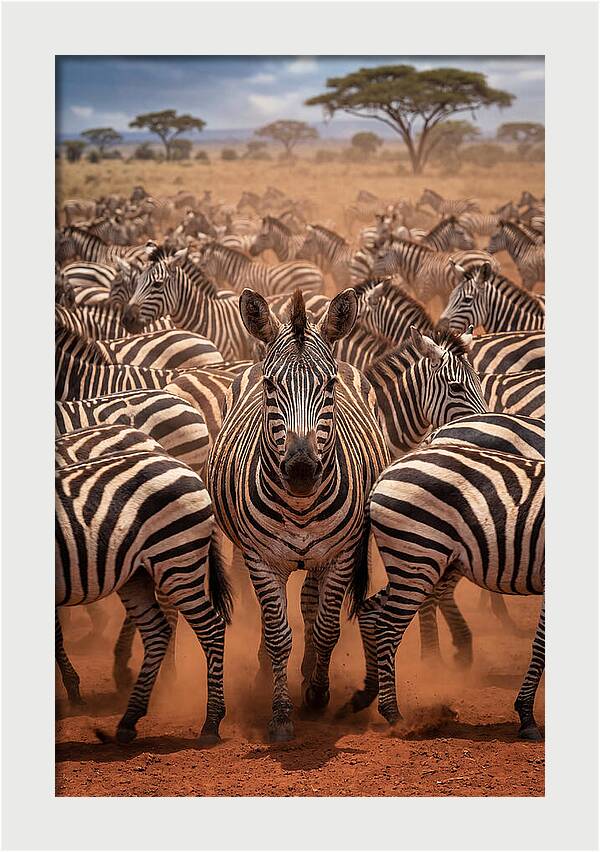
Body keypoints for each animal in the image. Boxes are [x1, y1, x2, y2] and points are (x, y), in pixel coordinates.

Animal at [56, 446, 232, 743]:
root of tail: (184, 466)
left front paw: (73, 691)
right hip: (137, 575)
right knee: (157, 631)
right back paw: (129, 719)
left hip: (176, 559)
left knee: (211, 628)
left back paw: (211, 723)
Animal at [207, 288, 390, 741]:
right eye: (271, 386)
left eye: (329, 386)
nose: (302, 470)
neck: (302, 506)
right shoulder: (261, 559)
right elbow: (277, 634)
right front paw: (281, 714)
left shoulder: (342, 554)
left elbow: (326, 627)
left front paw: (317, 693)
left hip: (324, 556)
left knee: (310, 601)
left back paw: (309, 673)